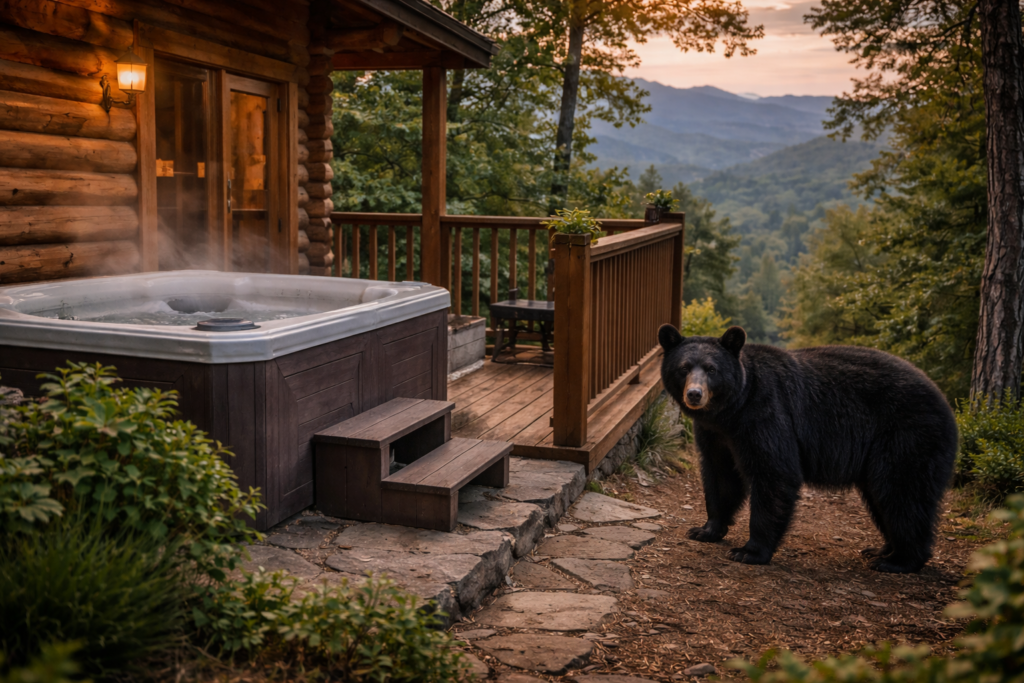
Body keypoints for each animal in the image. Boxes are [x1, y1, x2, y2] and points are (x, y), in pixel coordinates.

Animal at [658, 324, 958, 573]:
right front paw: (705, 530)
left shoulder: (766, 414)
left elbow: (774, 472)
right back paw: (881, 549)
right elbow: (721, 476)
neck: (731, 411)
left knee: (902, 492)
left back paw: (899, 560)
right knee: (883, 497)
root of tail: (946, 404)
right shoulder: (715, 434)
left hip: (907, 435)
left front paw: (748, 551)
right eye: (684, 368)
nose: (695, 394)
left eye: (711, 369)